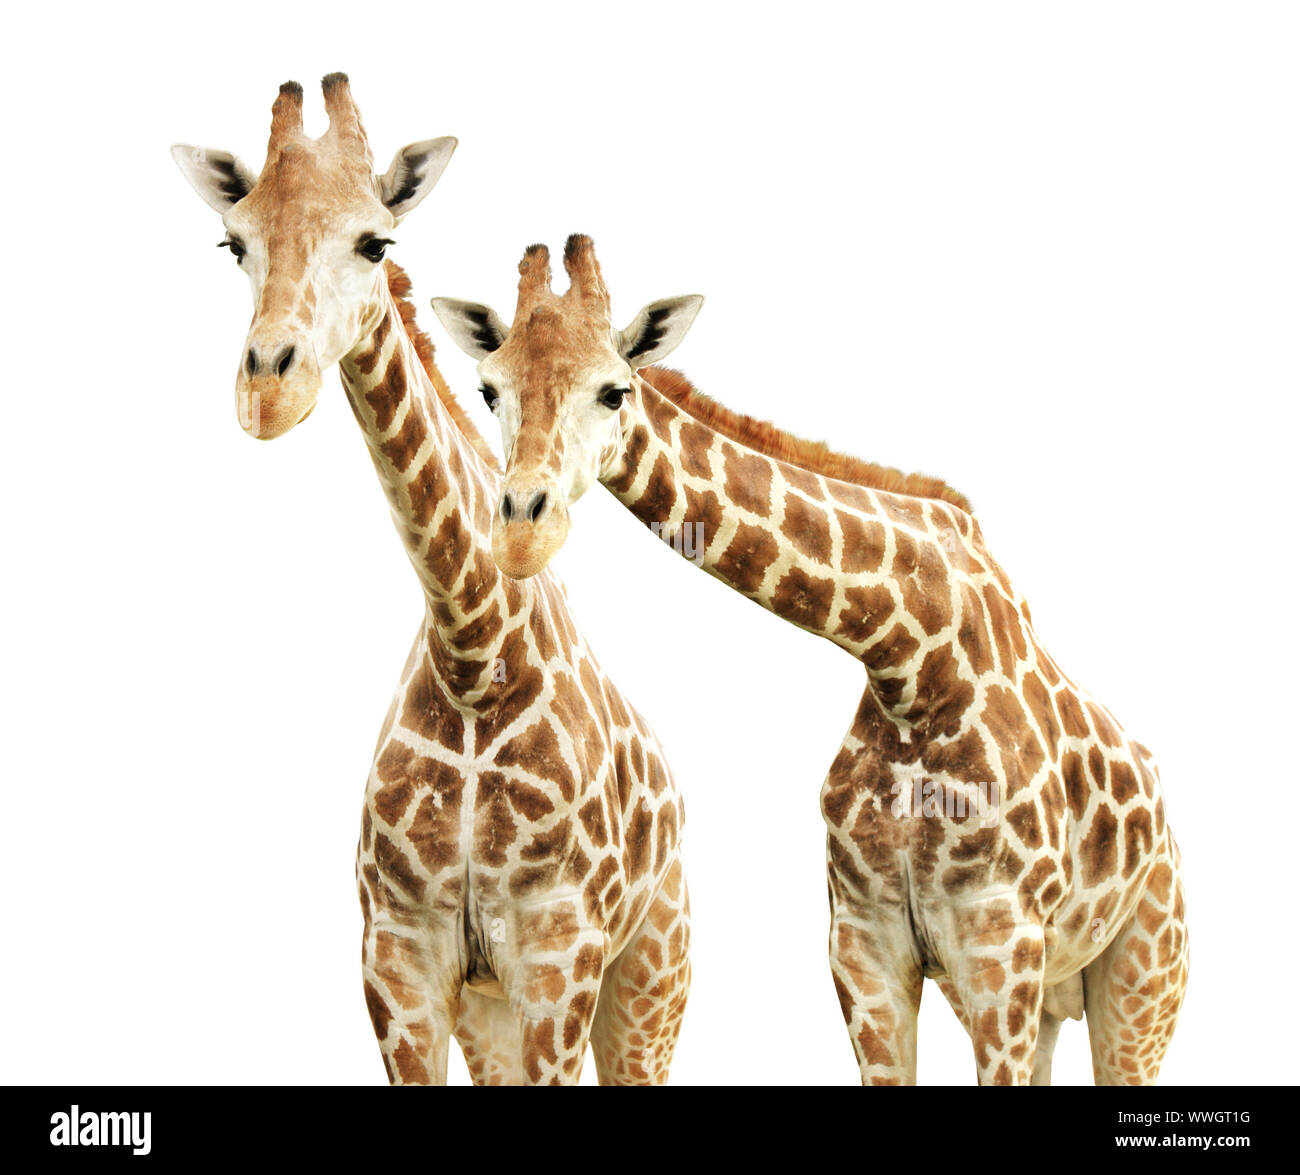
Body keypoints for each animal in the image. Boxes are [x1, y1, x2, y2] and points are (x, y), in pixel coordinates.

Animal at [171, 85, 689, 1085]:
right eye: (232, 243)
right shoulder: (398, 960)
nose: (268, 394)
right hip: (492, 1012)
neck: (473, 654)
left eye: (376, 243)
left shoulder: (561, 958)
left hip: (652, 978)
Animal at [431, 234, 1188, 1085]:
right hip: (1054, 995)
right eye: (489, 390)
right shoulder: (863, 944)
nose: (522, 530)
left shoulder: (1001, 942)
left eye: (614, 391)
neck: (914, 662)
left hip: (1143, 974)